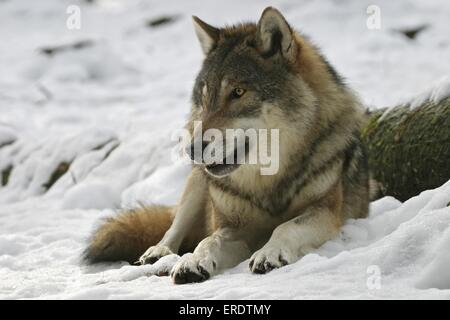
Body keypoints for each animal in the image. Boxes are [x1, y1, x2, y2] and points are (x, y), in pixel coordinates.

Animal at [83, 7, 370, 284]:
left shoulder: (326, 211)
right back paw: (158, 253)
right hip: (198, 185)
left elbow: (286, 226)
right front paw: (192, 262)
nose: (192, 149)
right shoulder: (234, 227)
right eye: (204, 97)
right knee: (174, 227)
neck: (268, 181)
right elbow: (208, 240)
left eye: (238, 93)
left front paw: (269, 252)